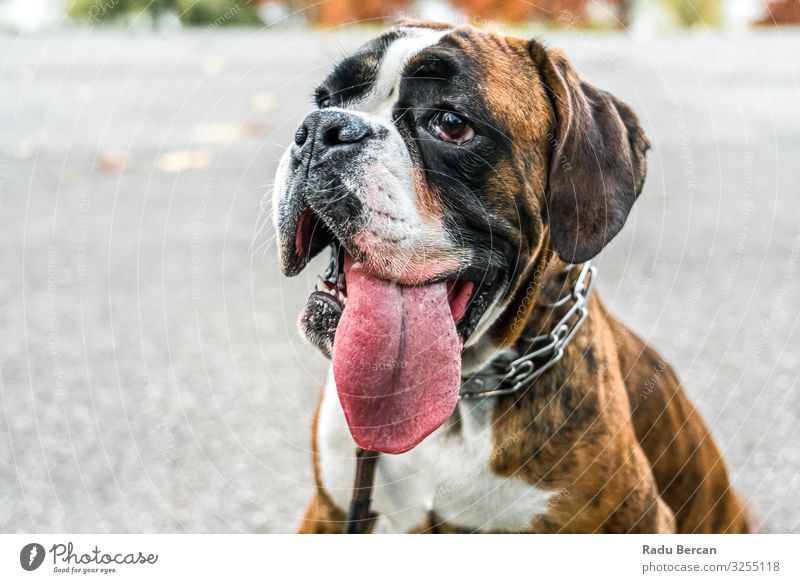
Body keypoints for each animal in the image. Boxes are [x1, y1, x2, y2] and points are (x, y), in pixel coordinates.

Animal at [272, 21, 752, 532]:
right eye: (324, 99)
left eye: (451, 123)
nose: (322, 128)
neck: (463, 398)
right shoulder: (330, 510)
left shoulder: (637, 519)